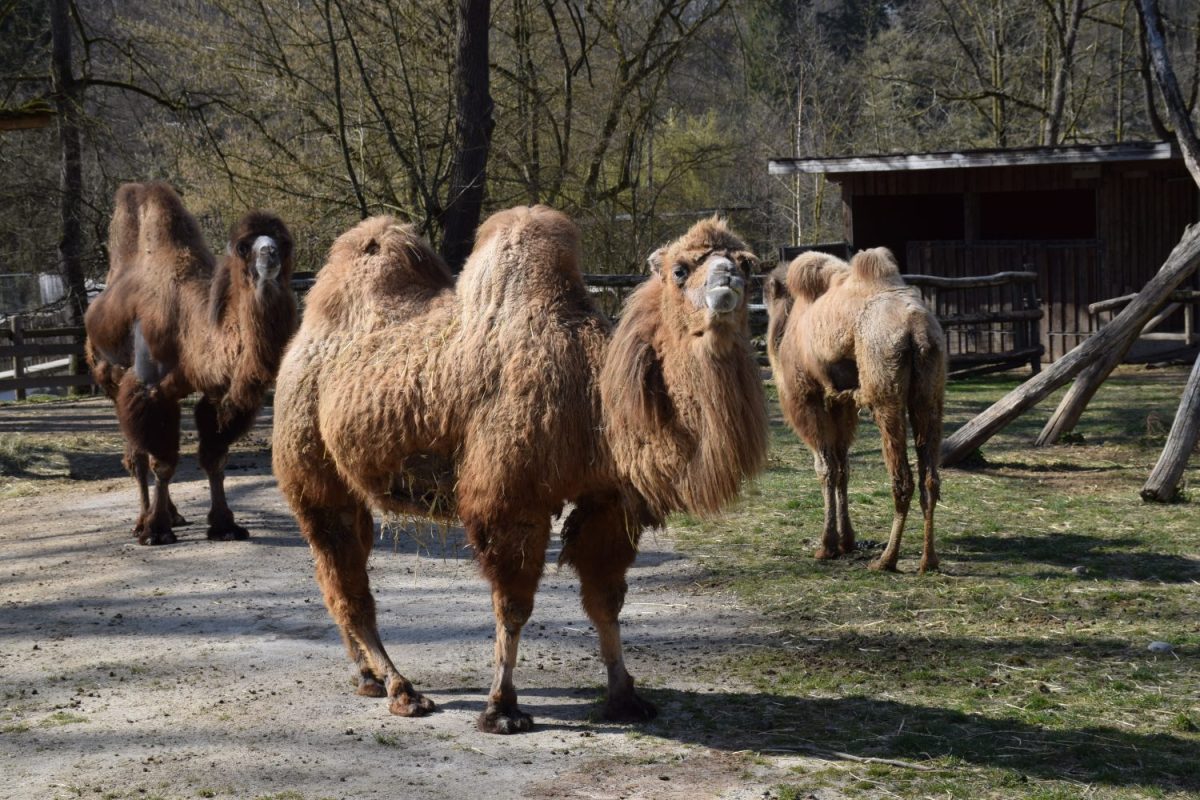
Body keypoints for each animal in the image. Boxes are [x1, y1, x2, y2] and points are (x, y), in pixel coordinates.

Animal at [85, 181, 297, 544]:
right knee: (138, 457)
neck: (189, 329)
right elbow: (163, 463)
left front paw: (225, 524)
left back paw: (173, 514)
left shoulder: (218, 392)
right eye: (243, 246)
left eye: (284, 242)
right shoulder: (148, 389)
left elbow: (215, 459)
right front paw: (156, 530)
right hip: (110, 380)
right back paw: (143, 519)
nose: (270, 253)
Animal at [273, 209, 768, 734]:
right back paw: (400, 688)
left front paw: (625, 696)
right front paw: (502, 708)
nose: (727, 282)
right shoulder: (510, 500)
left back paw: (367, 676)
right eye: (679, 269)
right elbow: (513, 606)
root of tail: (299, 345)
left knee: (339, 573)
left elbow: (606, 599)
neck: (594, 397)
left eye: (748, 263)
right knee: (347, 581)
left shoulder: (609, 502)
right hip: (313, 469)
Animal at [768, 247, 945, 573]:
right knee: (930, 478)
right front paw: (846, 541)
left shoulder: (809, 398)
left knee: (902, 479)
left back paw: (886, 559)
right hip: (931, 391)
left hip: (884, 391)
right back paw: (928, 560)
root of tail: (916, 328)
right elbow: (843, 468)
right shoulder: (842, 403)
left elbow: (825, 468)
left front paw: (827, 546)